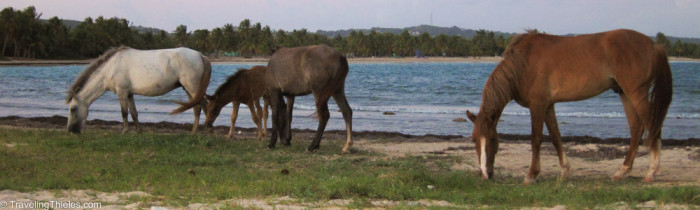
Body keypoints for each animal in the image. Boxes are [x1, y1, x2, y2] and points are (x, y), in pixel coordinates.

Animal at [67, 46, 212, 134]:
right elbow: (133, 113)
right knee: (197, 108)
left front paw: (124, 131)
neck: (110, 68)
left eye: (73, 109)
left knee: (204, 106)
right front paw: (139, 131)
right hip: (189, 90)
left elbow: (124, 113)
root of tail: (200, 55)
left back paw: (206, 131)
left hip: (192, 88)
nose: (71, 130)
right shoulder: (129, 94)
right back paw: (193, 132)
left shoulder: (122, 92)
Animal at [464, 29, 672, 184]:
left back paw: (651, 172)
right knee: (637, 128)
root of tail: (653, 44)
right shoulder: (548, 106)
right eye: (474, 139)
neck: (523, 64)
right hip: (624, 93)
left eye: (493, 139)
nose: (486, 174)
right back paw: (622, 172)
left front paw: (531, 175)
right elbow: (556, 137)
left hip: (636, 93)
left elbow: (536, 139)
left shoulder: (537, 105)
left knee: (652, 125)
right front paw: (565, 171)